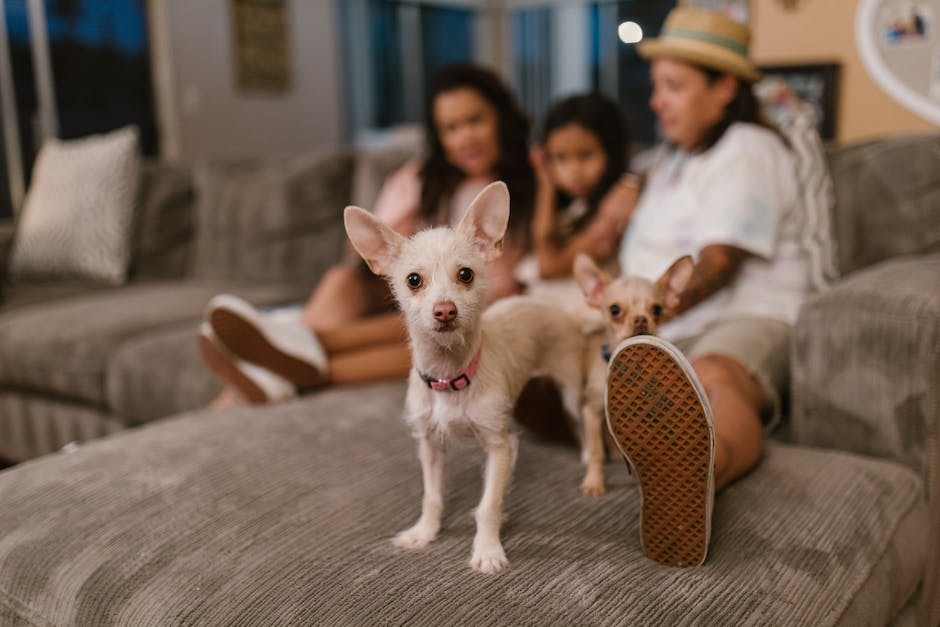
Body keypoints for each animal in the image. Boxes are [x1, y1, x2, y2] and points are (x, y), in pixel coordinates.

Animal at [342, 180, 584, 576]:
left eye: (466, 275)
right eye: (413, 280)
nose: (445, 310)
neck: (449, 377)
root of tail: (552, 305)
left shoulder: (501, 446)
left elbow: (488, 505)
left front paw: (487, 549)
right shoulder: (429, 444)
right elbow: (432, 496)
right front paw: (424, 532)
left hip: (573, 393)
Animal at [568, 253, 692, 498]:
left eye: (657, 310)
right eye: (615, 310)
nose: (641, 319)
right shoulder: (591, 412)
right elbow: (597, 452)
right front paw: (594, 481)